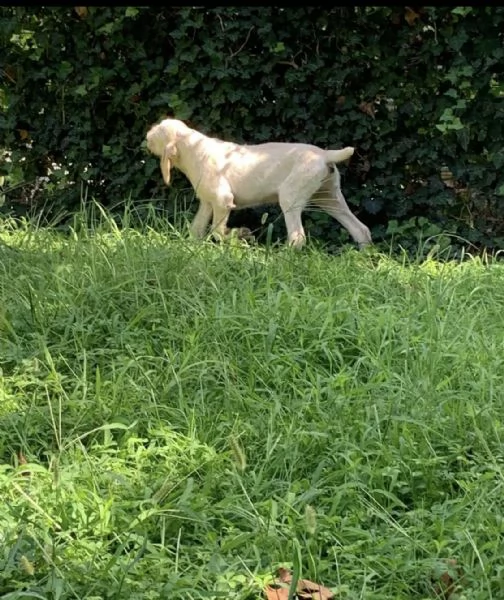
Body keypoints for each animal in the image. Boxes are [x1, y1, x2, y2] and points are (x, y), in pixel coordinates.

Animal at [146, 117, 370, 248]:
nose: (146, 136)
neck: (193, 149)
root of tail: (324, 154)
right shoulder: (208, 203)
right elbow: (197, 229)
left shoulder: (222, 201)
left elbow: (217, 231)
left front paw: (239, 235)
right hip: (329, 198)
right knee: (361, 230)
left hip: (291, 198)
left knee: (298, 237)